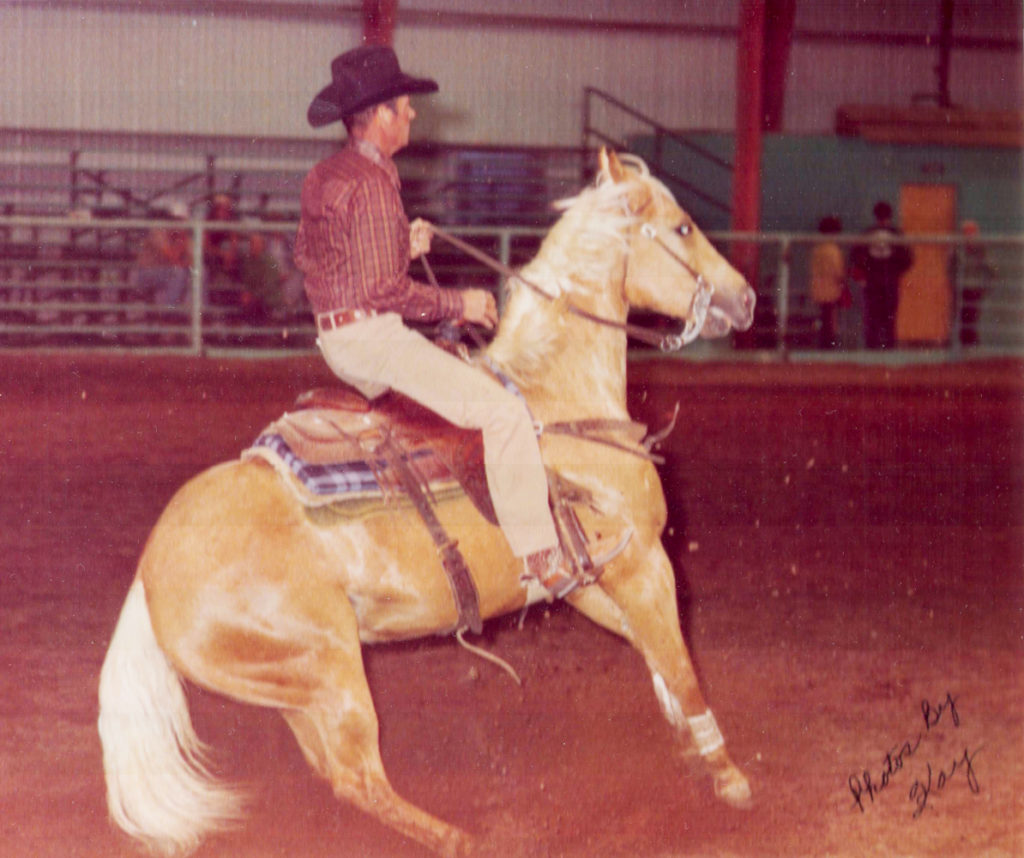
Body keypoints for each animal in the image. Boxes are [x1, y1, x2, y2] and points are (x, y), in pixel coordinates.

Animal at [97, 149, 757, 857]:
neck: (557, 403)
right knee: (358, 776)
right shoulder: (643, 564)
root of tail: (151, 568)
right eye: (684, 227)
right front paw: (728, 775)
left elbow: (651, 650)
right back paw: (461, 839)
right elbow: (680, 664)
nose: (746, 298)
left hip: (296, 688)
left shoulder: (586, 579)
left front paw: (690, 748)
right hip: (330, 671)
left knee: (337, 773)